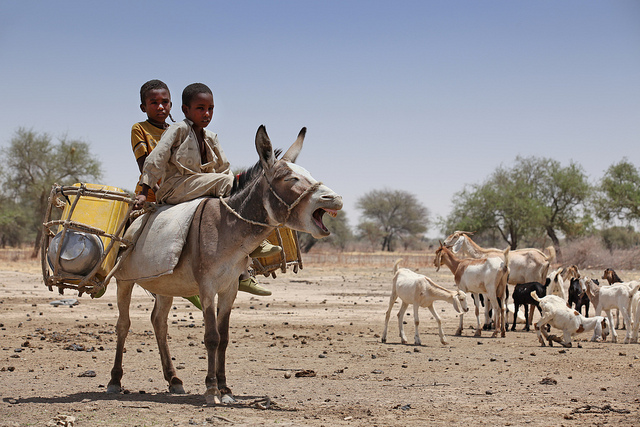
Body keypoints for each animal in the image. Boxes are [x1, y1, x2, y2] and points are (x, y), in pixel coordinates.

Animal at [107, 125, 343, 404]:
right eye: (290, 179)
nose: (336, 198)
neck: (226, 226)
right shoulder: (207, 287)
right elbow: (211, 337)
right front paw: (211, 390)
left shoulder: (230, 288)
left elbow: (225, 338)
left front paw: (225, 388)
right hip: (125, 281)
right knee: (123, 325)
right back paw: (114, 380)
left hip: (165, 284)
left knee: (159, 323)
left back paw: (174, 380)